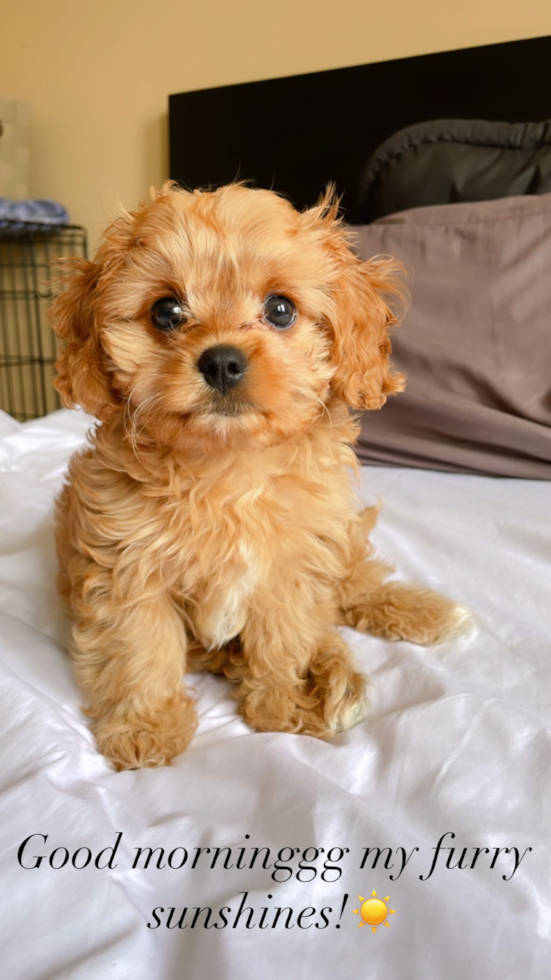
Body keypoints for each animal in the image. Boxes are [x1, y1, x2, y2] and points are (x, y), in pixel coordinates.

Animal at [49, 180, 468, 768]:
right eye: (166, 311)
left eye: (280, 309)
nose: (222, 361)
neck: (228, 467)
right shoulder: (127, 568)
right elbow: (139, 648)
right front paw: (145, 727)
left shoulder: (288, 565)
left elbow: (283, 636)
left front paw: (282, 702)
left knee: (353, 582)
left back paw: (417, 615)